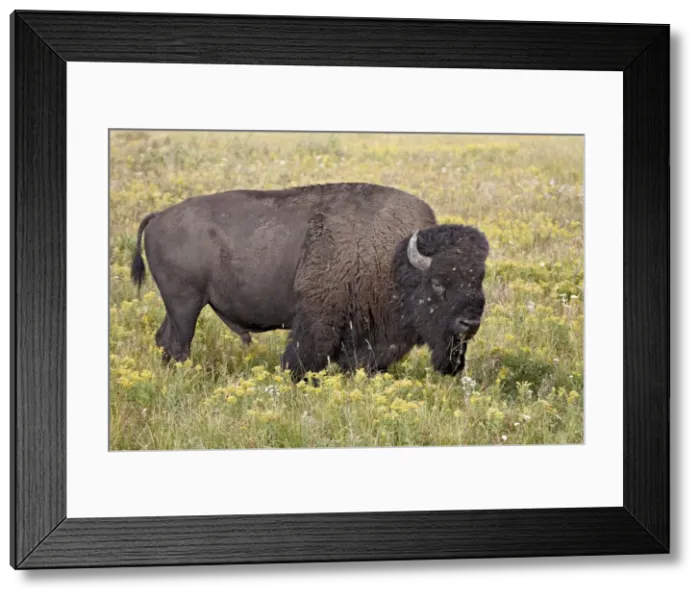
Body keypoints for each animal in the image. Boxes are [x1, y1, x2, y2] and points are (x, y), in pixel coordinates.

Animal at [130, 182, 489, 382]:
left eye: (479, 278)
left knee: (164, 339)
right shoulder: (319, 319)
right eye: (439, 282)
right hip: (186, 304)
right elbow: (302, 359)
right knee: (178, 343)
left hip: (178, 306)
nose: (469, 323)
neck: (393, 260)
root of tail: (159, 216)